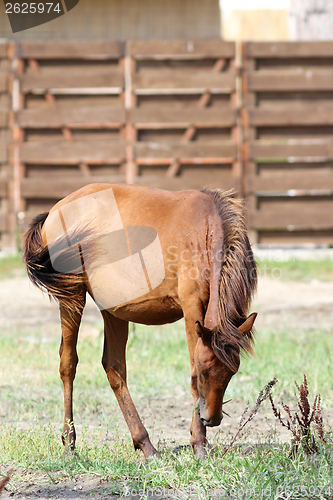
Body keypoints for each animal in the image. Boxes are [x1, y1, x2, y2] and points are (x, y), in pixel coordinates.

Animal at [23, 183, 256, 458]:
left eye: (232, 372)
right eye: (204, 371)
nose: (212, 418)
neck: (206, 229)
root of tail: (55, 210)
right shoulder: (191, 308)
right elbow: (190, 376)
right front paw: (199, 443)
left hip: (113, 310)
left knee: (114, 368)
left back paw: (145, 445)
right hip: (72, 296)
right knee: (68, 364)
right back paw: (70, 443)